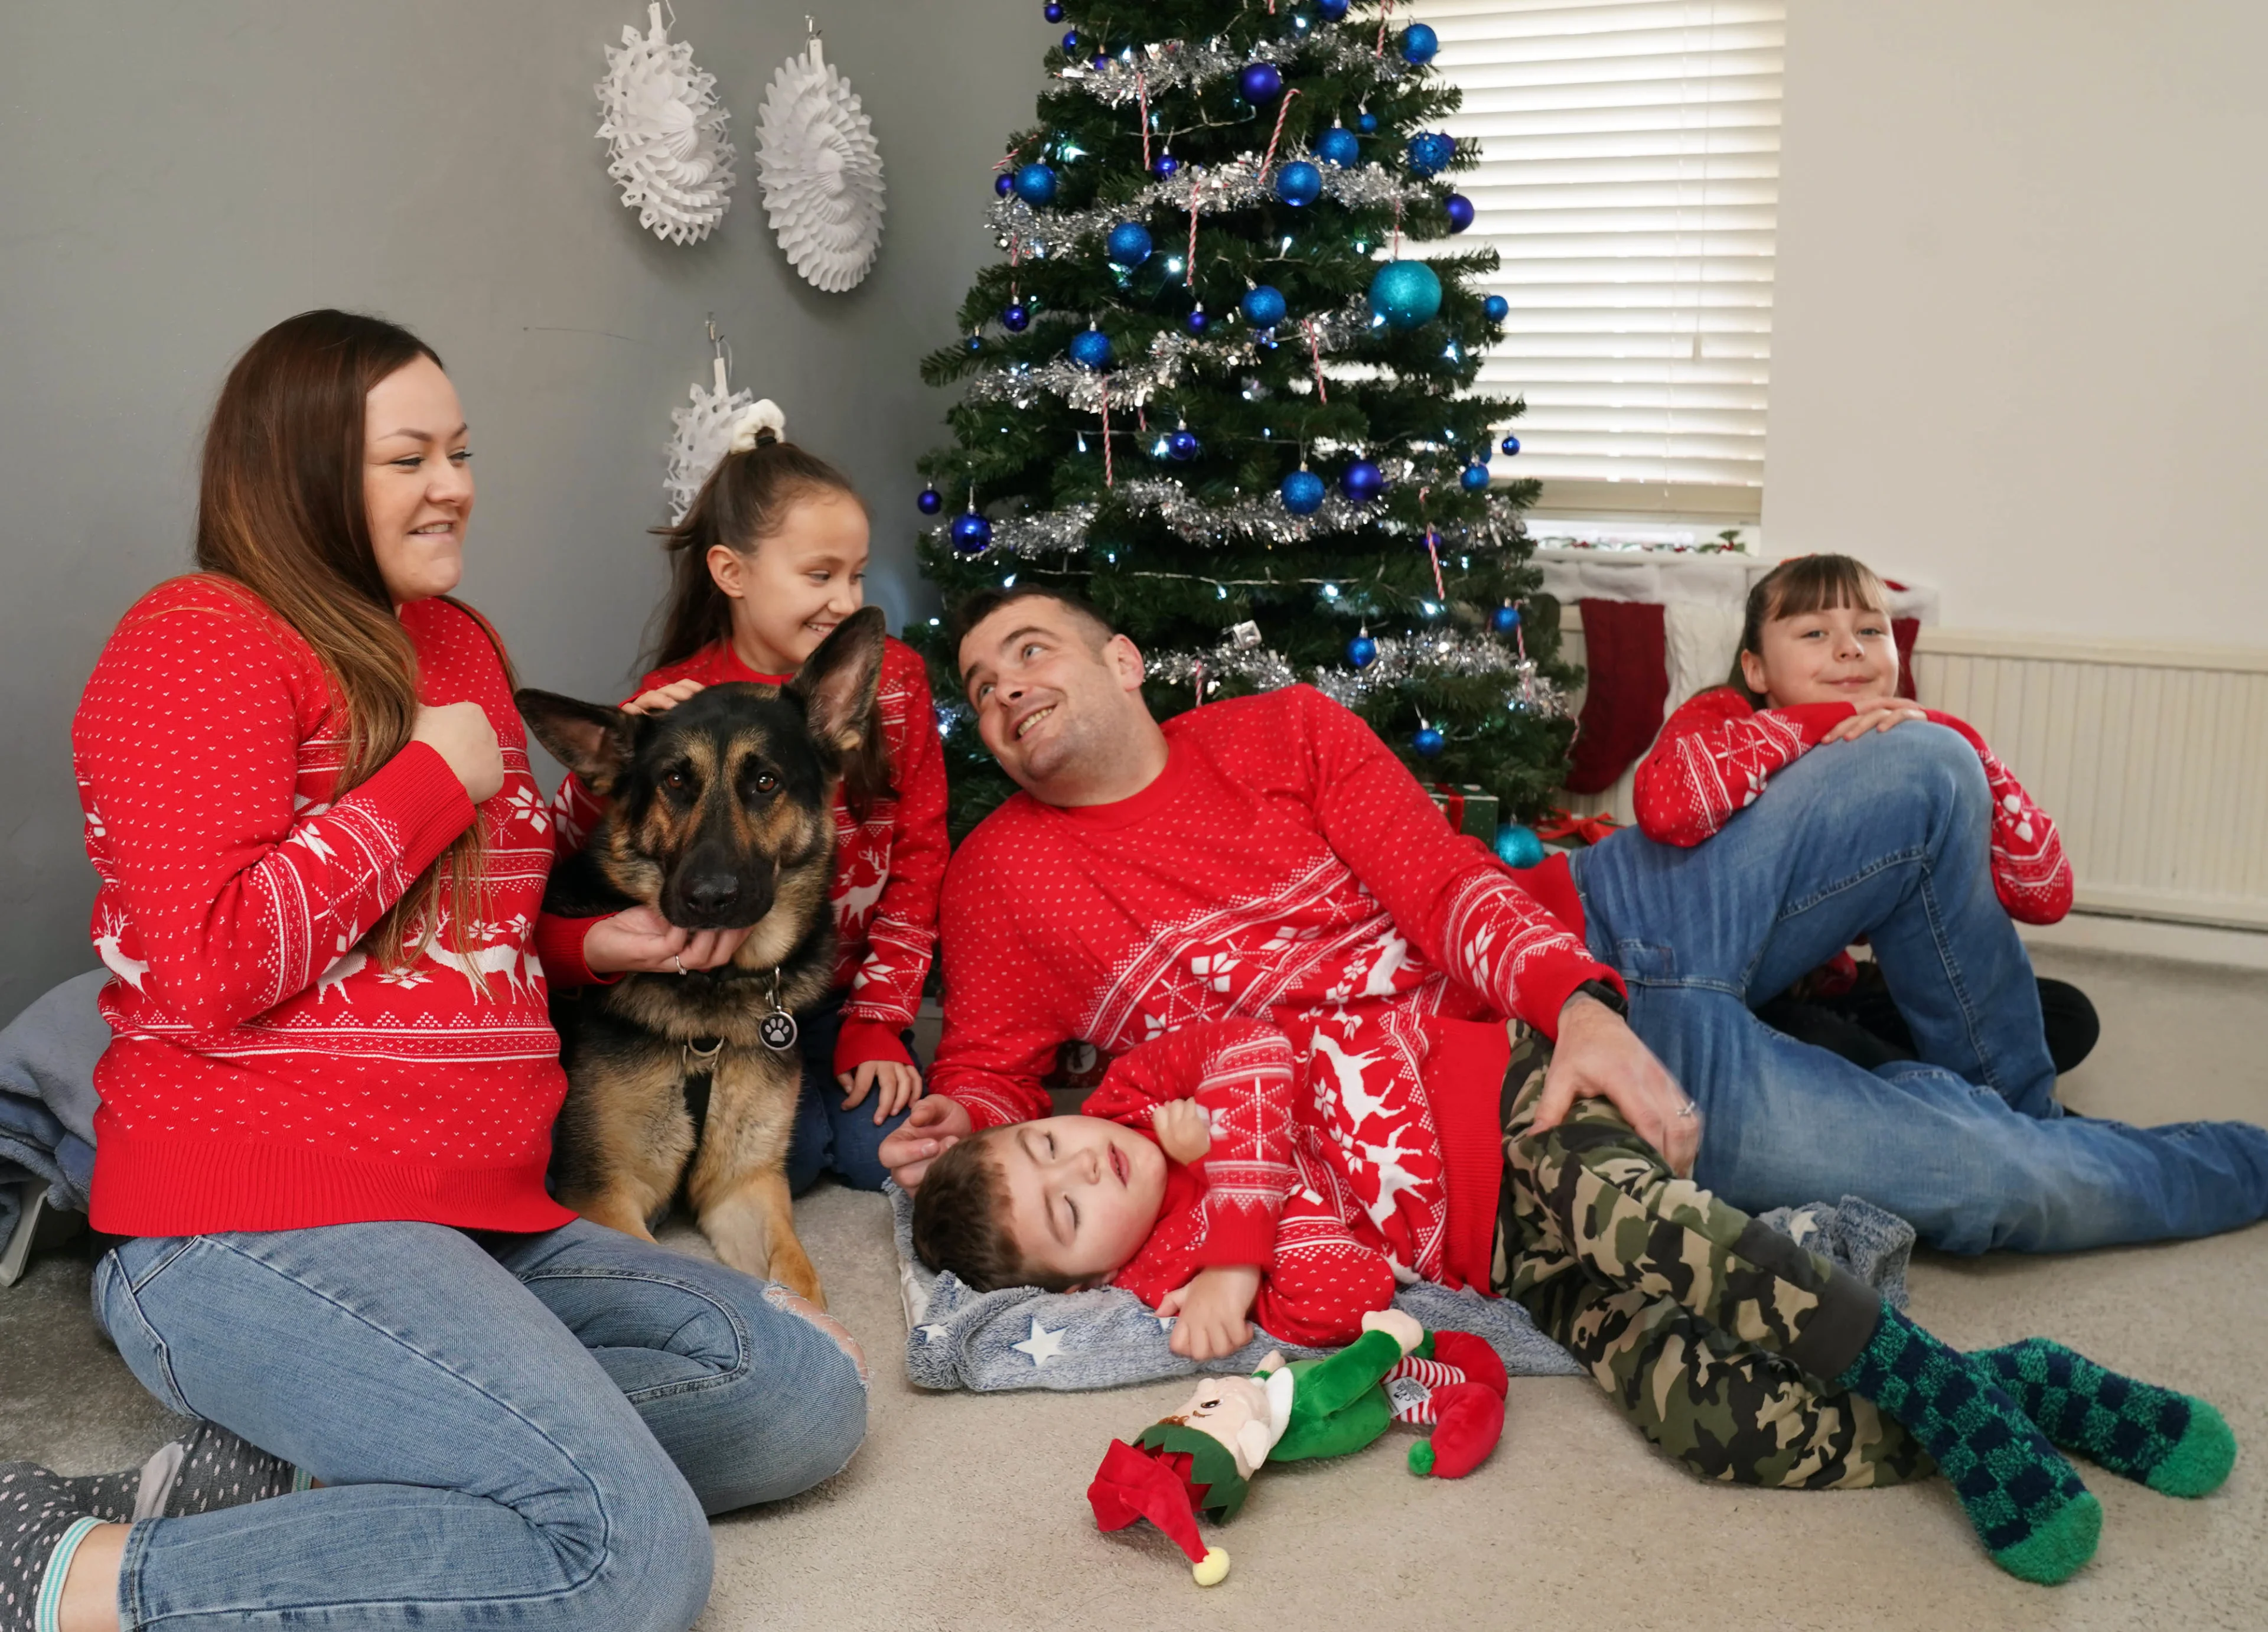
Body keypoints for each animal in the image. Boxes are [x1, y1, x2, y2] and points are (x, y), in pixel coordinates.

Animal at [522, 607, 884, 1305]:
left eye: (765, 782)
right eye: (675, 782)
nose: (710, 898)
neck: (714, 1003)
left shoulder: (746, 1188)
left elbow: (803, 1288)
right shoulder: (604, 1198)